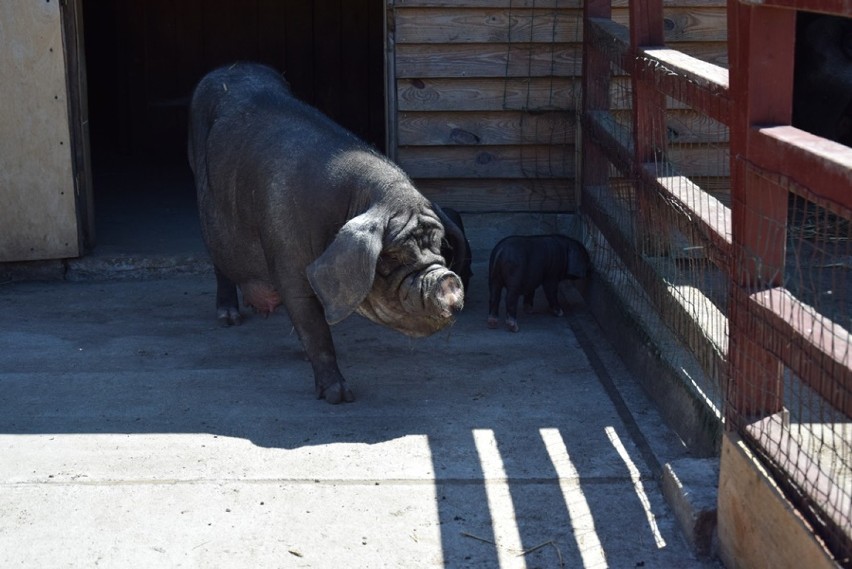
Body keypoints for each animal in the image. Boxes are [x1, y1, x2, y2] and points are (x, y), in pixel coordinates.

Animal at [188, 63, 466, 404]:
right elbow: (315, 328)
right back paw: (229, 318)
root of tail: (226, 67)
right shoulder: (287, 257)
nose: (448, 280)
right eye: (391, 255)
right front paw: (340, 396)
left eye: (440, 245)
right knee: (219, 262)